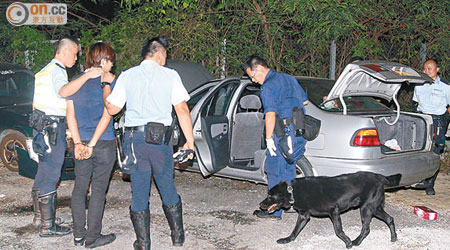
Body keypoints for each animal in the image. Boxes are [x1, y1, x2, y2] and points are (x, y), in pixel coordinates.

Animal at [260, 172, 400, 248]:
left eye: (270, 196)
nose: (260, 204)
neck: (292, 192)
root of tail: (380, 176)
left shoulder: (334, 211)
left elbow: (338, 230)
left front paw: (348, 242)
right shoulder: (304, 215)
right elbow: (295, 230)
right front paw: (287, 240)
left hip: (366, 208)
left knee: (366, 228)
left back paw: (356, 242)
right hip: (374, 208)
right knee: (390, 219)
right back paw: (393, 238)